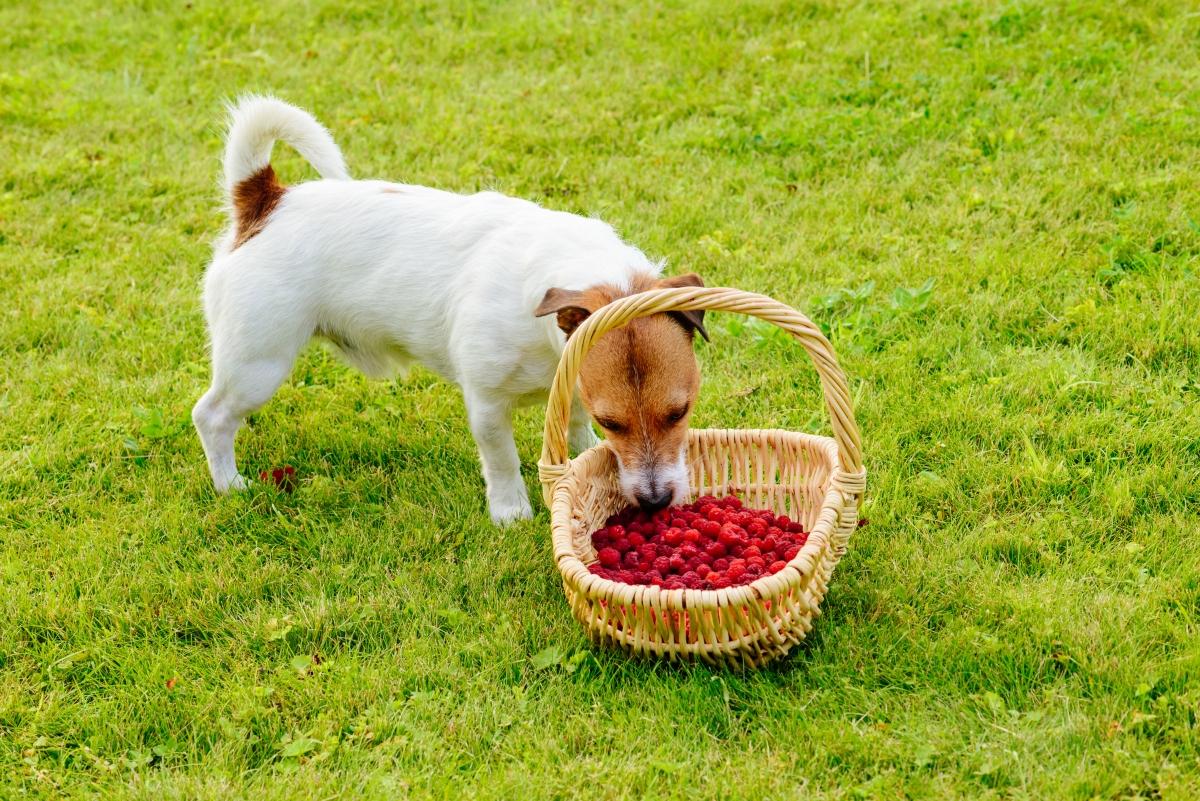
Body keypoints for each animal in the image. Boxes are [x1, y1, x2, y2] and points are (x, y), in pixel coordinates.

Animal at [192, 97, 705, 522]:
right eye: (613, 422)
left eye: (680, 412)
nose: (656, 501)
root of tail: (265, 201)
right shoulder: (486, 405)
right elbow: (501, 461)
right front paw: (511, 513)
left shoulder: (573, 379)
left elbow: (575, 429)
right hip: (258, 362)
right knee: (211, 416)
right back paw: (230, 485)